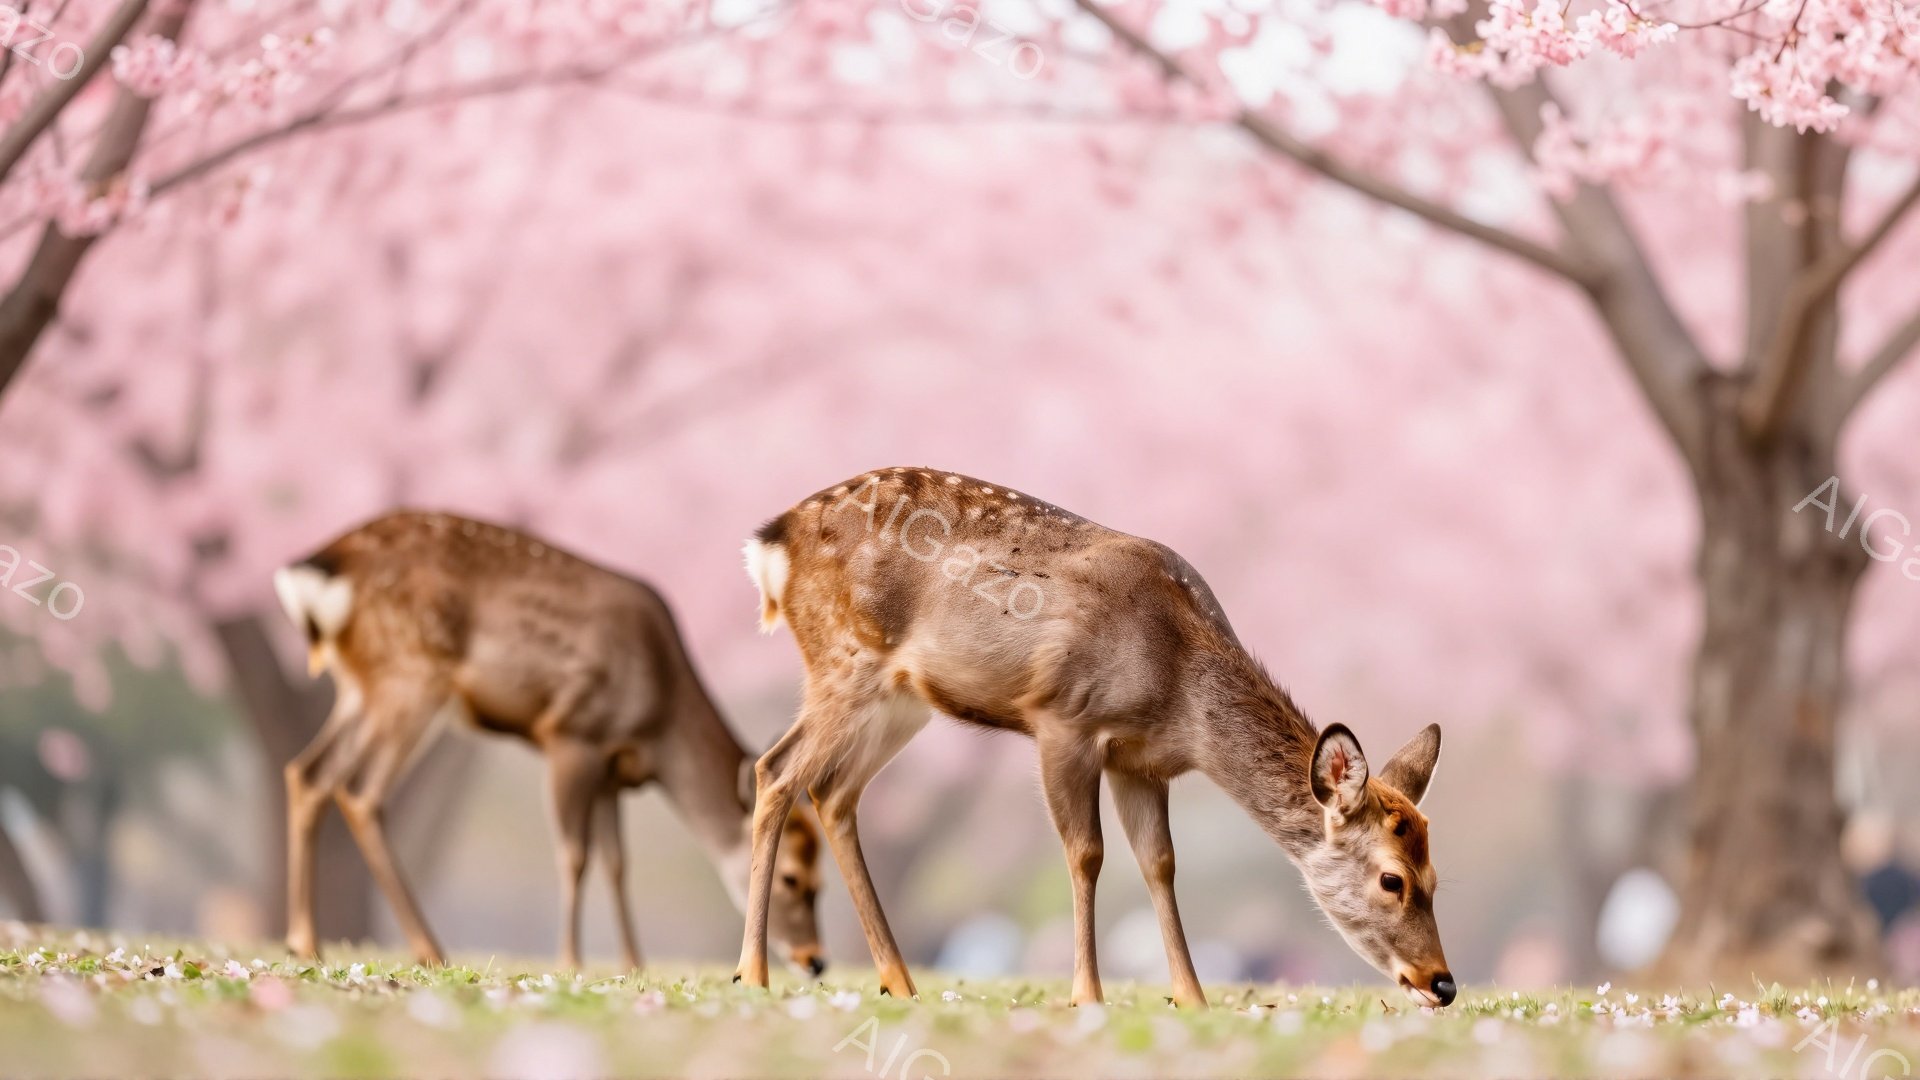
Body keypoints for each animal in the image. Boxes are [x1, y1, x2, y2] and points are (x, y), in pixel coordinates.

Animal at [271, 510, 827, 975]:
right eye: (794, 879)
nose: (815, 960)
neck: (660, 723)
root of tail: (323, 569)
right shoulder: (571, 733)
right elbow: (573, 853)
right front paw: (571, 962)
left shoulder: (611, 769)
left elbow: (617, 863)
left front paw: (634, 966)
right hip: (410, 675)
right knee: (360, 790)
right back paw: (428, 949)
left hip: (358, 687)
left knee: (309, 772)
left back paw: (305, 942)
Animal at [734, 467, 1455, 1009]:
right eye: (1393, 879)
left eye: (1435, 877)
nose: (1442, 983)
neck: (1178, 695)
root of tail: (772, 542)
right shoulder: (1063, 719)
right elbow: (1086, 853)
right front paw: (1088, 994)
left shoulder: (1142, 764)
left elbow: (1160, 863)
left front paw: (1192, 998)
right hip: (844, 660)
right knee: (776, 770)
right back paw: (753, 973)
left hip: (900, 702)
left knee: (833, 791)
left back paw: (899, 981)